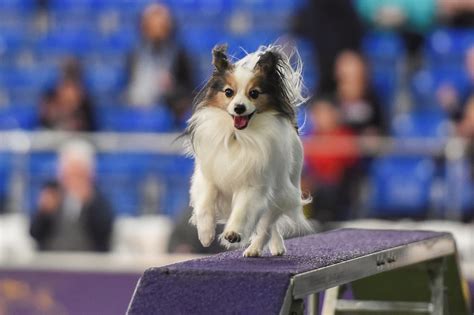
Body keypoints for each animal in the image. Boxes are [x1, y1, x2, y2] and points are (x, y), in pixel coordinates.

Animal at [184, 44, 312, 256]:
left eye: (254, 93)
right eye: (228, 92)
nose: (239, 108)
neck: (237, 137)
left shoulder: (253, 184)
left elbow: (242, 210)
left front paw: (233, 233)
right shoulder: (209, 176)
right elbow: (204, 204)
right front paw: (205, 234)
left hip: (281, 191)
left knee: (267, 225)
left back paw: (258, 248)